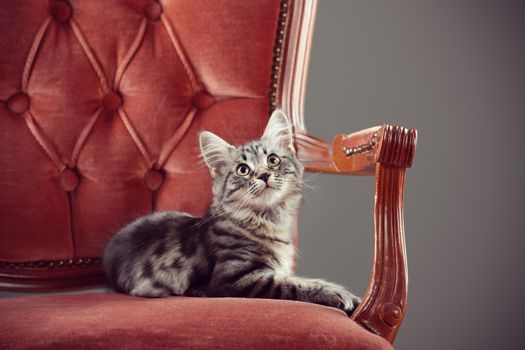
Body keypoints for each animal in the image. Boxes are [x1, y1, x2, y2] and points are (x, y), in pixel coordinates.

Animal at [103, 110, 360, 316]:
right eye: (243, 170)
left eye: (273, 160)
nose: (264, 175)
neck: (267, 220)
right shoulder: (237, 279)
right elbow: (295, 285)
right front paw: (338, 294)